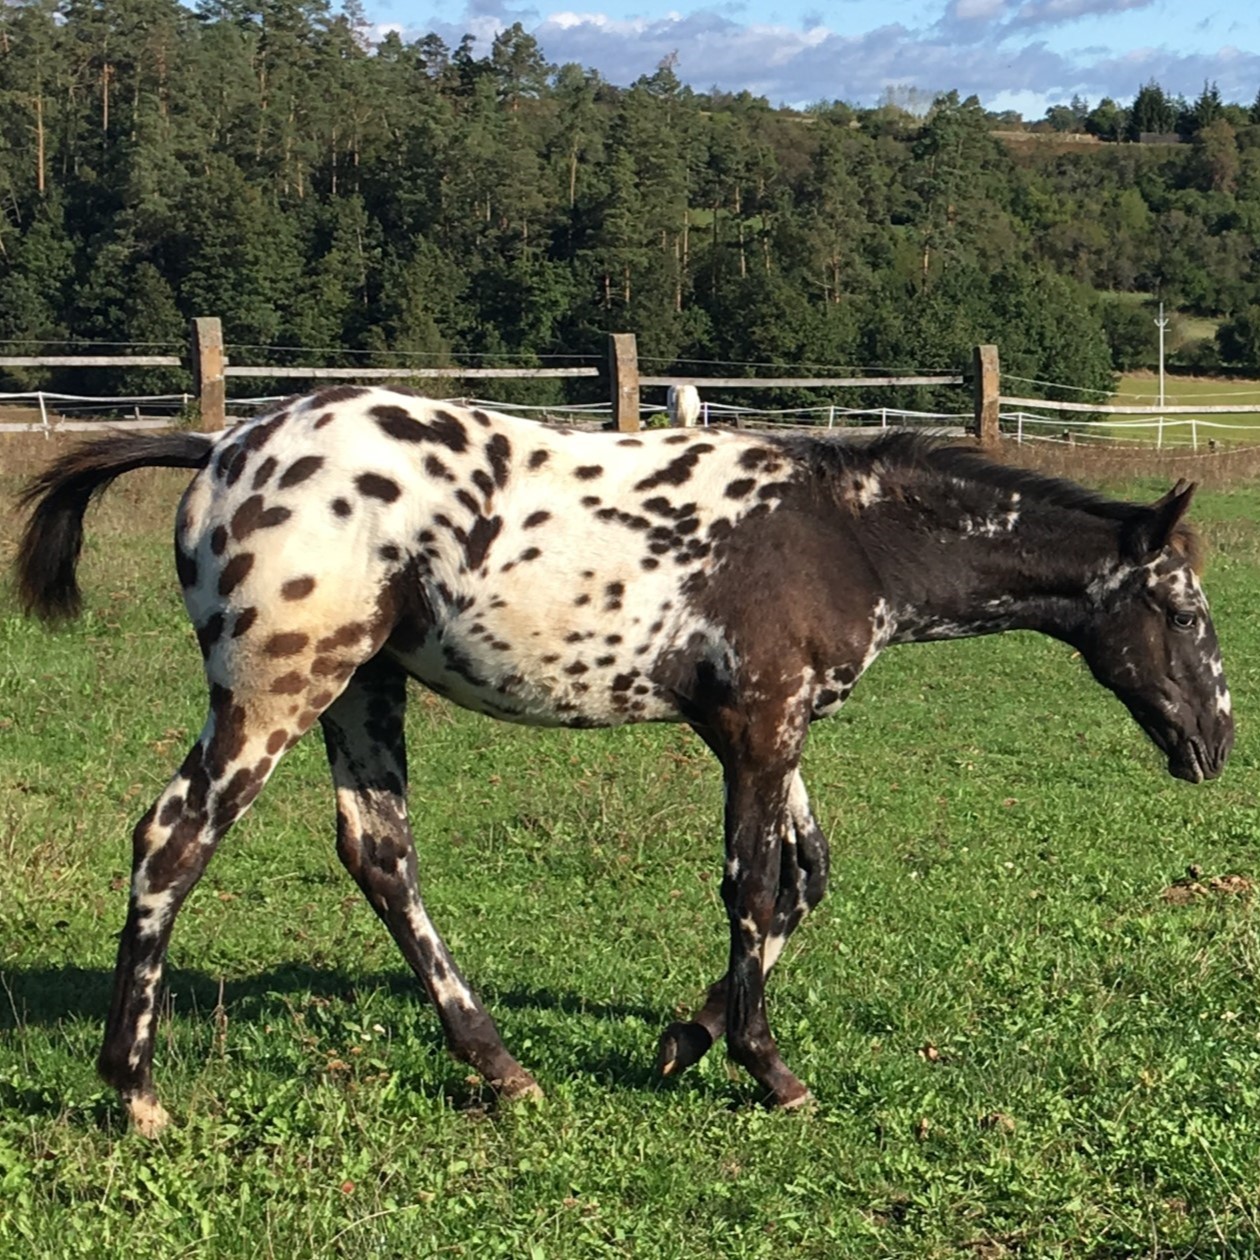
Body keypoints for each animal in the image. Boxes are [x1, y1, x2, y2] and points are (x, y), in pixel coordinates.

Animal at [14, 383, 1234, 1134]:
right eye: (1182, 610)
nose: (1214, 743)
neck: (845, 535)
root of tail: (221, 446)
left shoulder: (768, 731)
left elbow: (803, 882)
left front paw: (683, 1039)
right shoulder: (759, 727)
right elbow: (753, 888)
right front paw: (768, 1070)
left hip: (364, 687)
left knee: (379, 853)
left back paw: (500, 1066)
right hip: (279, 689)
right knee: (173, 841)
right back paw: (134, 1091)